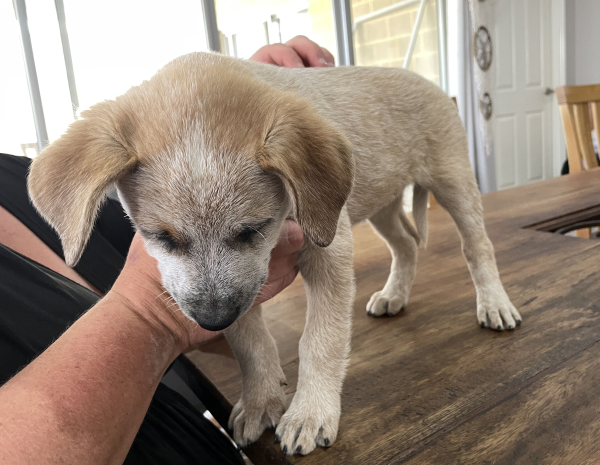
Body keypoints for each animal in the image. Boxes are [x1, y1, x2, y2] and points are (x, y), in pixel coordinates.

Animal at [27, 52, 520, 454]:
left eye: (252, 229)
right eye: (160, 236)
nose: (211, 322)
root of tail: (430, 84)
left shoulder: (328, 248)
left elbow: (320, 340)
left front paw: (310, 413)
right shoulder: (241, 290)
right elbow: (248, 341)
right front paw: (261, 397)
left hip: (453, 181)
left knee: (477, 246)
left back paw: (494, 303)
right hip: (380, 202)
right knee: (406, 246)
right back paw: (394, 295)